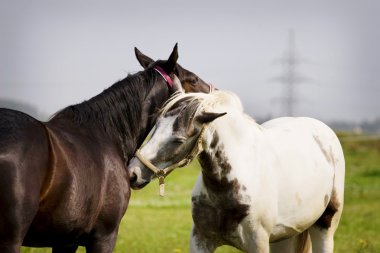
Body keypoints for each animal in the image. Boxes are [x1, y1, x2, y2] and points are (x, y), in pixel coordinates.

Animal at [0, 44, 211, 252]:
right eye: (193, 79)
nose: (215, 91)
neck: (105, 135)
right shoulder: (104, 236)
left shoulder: (66, 240)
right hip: (11, 239)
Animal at [127, 90, 344, 252]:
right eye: (155, 127)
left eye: (178, 139)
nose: (133, 173)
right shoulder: (201, 240)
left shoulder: (258, 244)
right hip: (284, 237)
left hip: (325, 226)